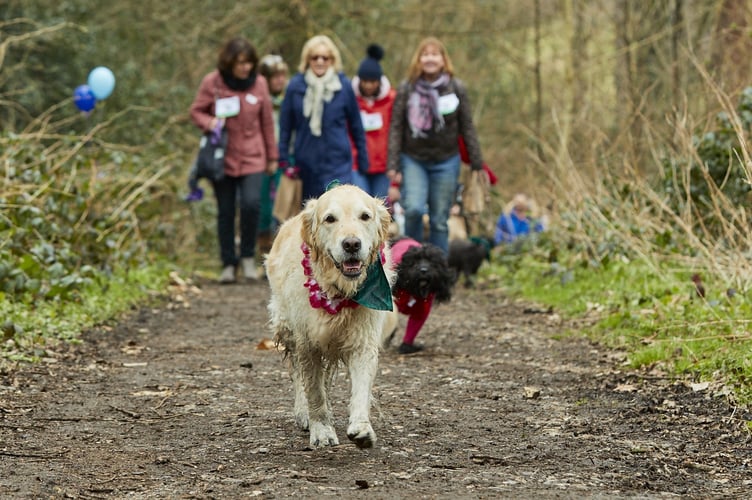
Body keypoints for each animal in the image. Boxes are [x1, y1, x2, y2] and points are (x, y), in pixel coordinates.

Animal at [264, 184, 394, 450]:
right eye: (330, 219)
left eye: (365, 216)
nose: (352, 244)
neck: (338, 288)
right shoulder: (306, 341)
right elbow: (313, 390)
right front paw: (322, 430)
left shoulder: (363, 339)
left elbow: (361, 387)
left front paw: (361, 428)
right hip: (286, 325)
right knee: (298, 375)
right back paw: (303, 413)